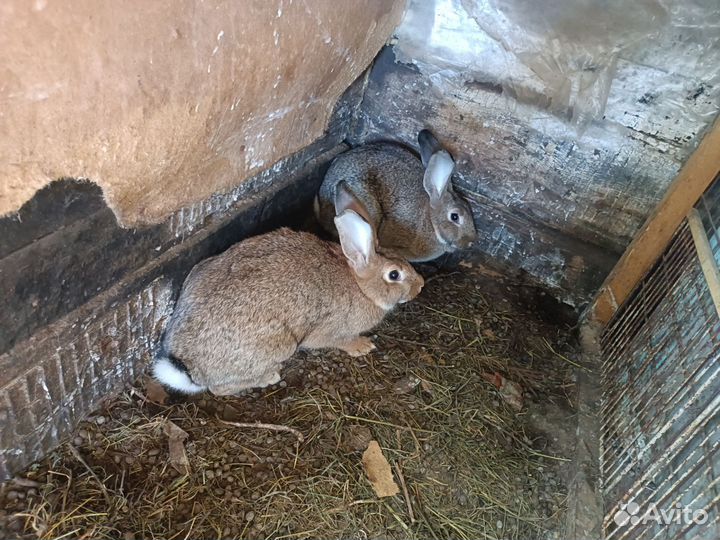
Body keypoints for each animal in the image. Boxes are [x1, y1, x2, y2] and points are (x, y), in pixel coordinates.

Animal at [152, 210, 424, 396]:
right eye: (394, 275)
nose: (421, 285)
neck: (361, 286)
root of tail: (190, 368)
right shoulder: (329, 331)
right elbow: (339, 340)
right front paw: (362, 346)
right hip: (281, 345)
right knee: (218, 389)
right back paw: (268, 377)